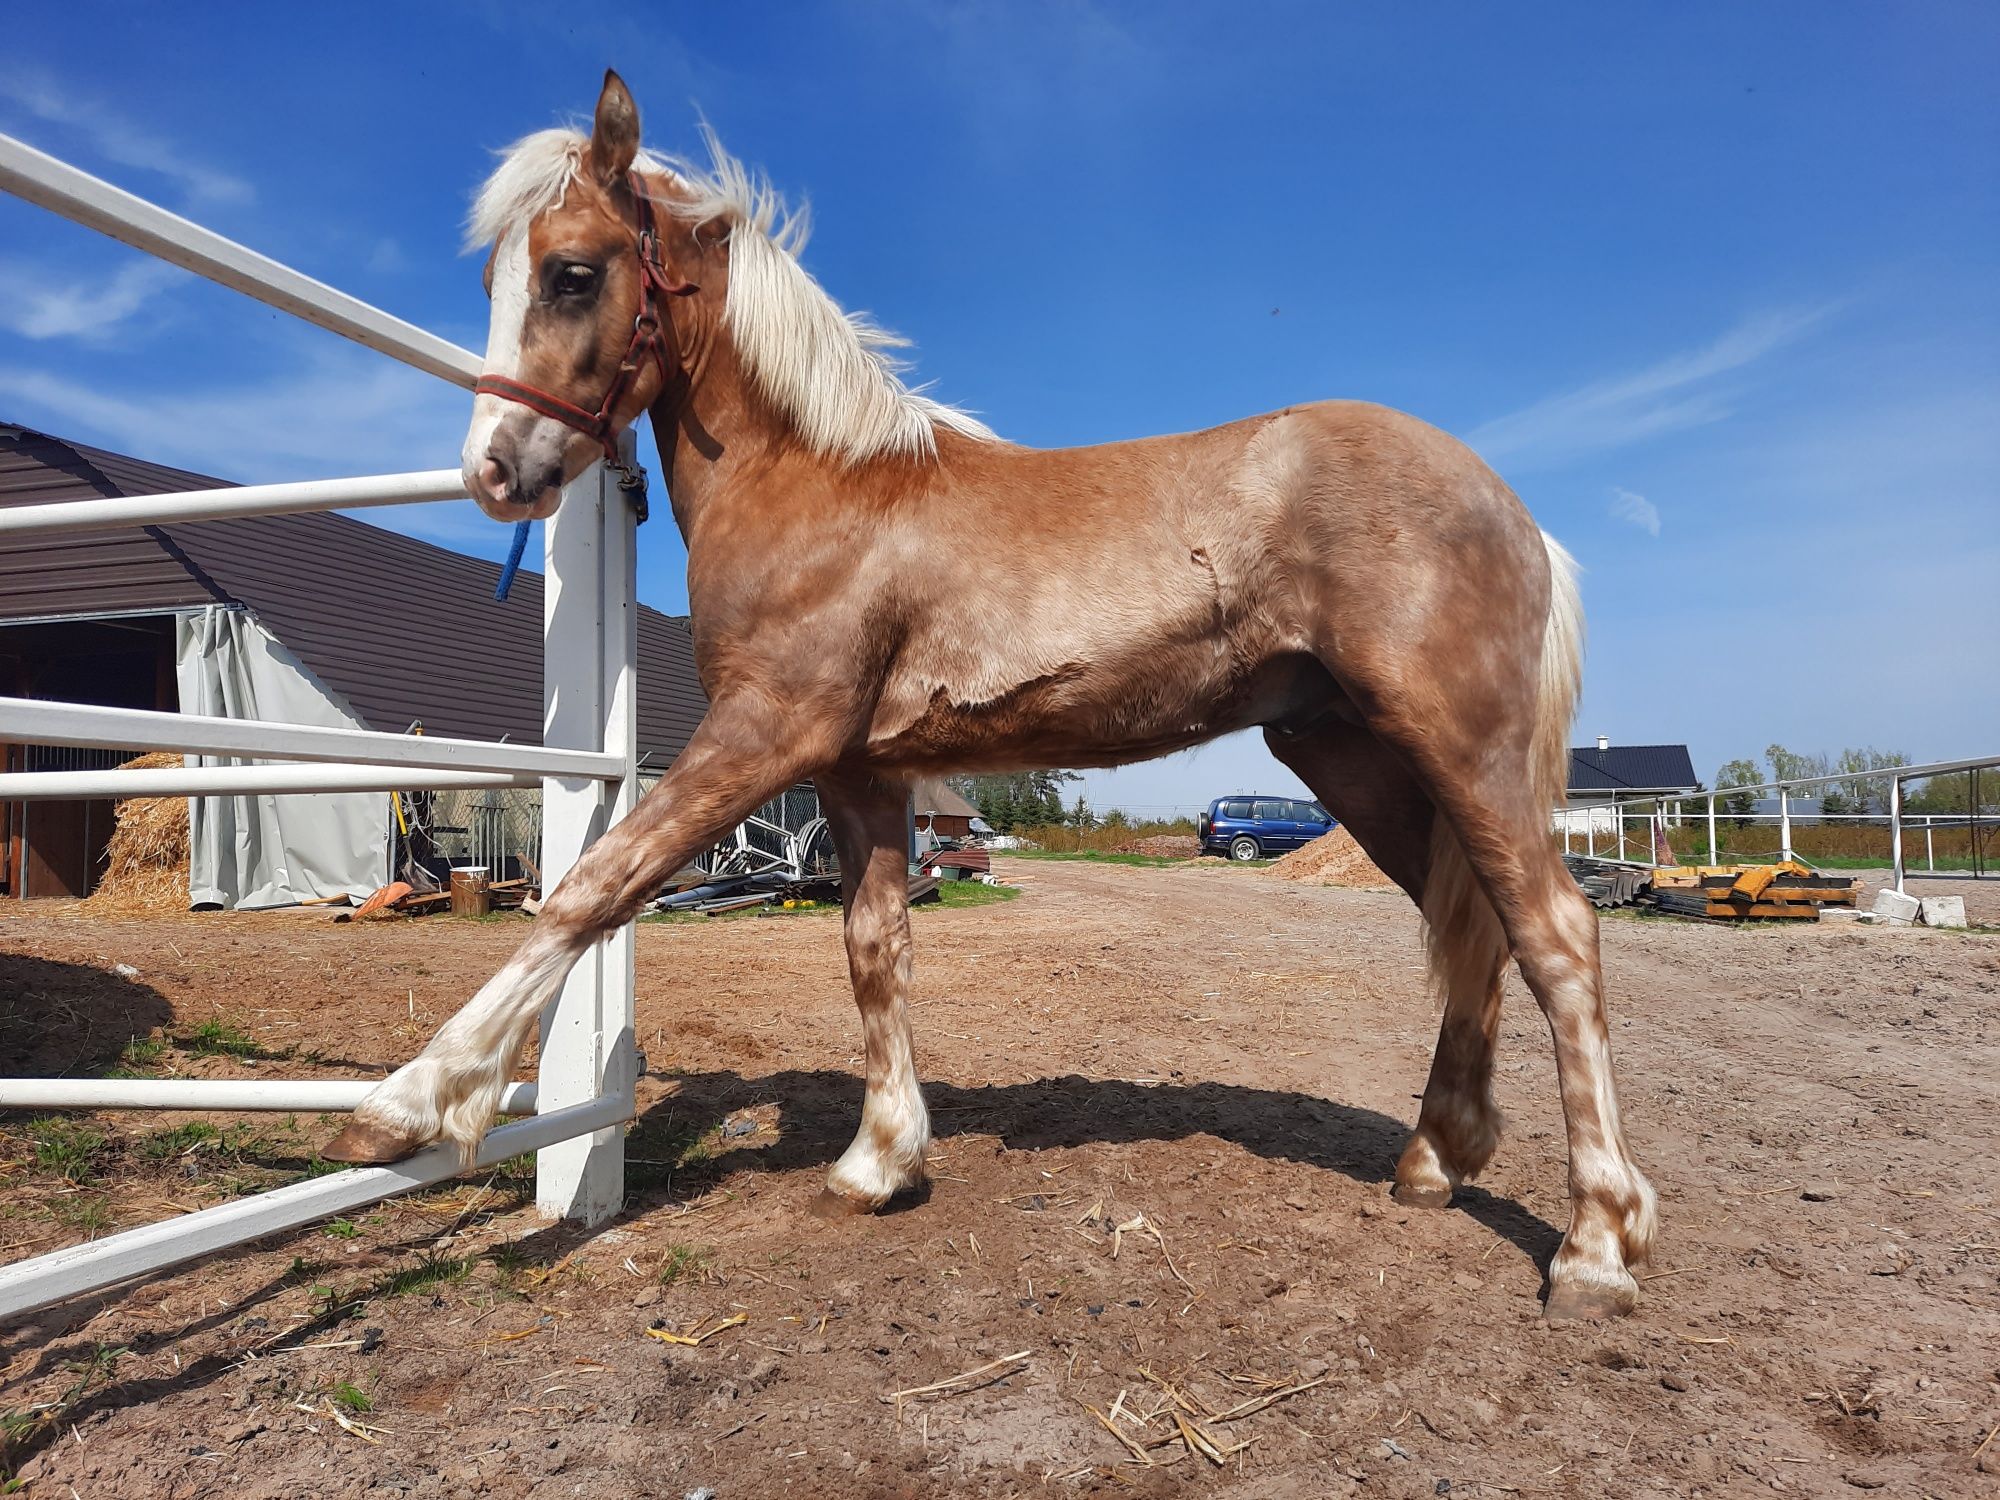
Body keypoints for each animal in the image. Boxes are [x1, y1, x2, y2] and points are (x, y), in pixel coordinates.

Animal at [328, 73, 1664, 1312]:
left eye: (569, 273)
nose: (495, 472)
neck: (823, 481)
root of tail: (1516, 514)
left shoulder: (764, 732)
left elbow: (591, 888)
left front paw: (408, 1103)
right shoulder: (855, 767)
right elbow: (874, 947)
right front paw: (879, 1163)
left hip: (1456, 745)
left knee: (1554, 933)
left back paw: (1595, 1244)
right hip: (1351, 757)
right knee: (1464, 922)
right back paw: (1434, 1158)